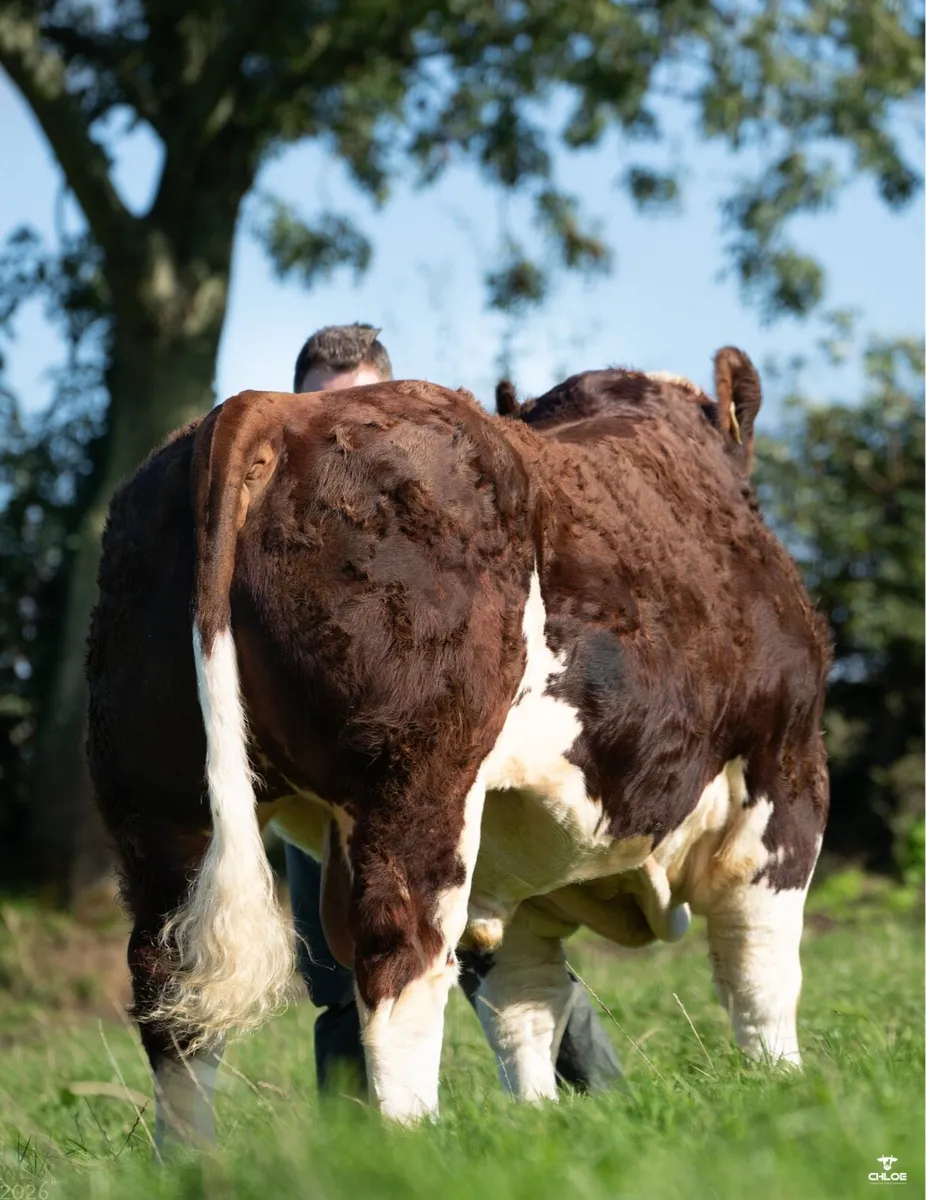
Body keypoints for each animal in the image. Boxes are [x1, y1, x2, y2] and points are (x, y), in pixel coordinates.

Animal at [86, 365, 830, 1148]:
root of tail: (267, 408)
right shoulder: (787, 769)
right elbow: (761, 966)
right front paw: (782, 1086)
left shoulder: (512, 854)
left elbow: (525, 1002)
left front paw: (537, 1122)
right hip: (415, 780)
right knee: (398, 960)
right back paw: (413, 1143)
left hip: (156, 799)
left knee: (172, 994)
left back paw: (194, 1161)